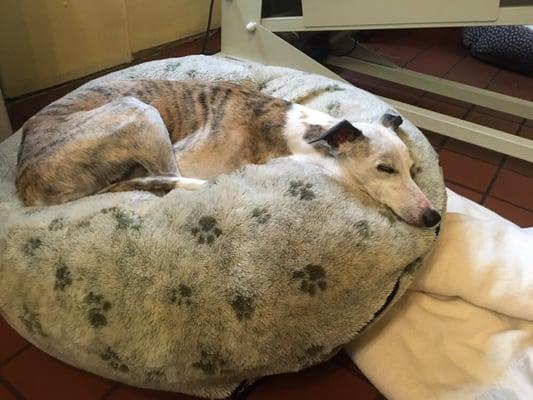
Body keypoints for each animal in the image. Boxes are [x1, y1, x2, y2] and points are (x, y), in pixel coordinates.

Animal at [16, 79, 440, 227]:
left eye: (412, 168)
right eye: (384, 168)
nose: (433, 216)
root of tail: (23, 184)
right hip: (139, 113)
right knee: (170, 184)